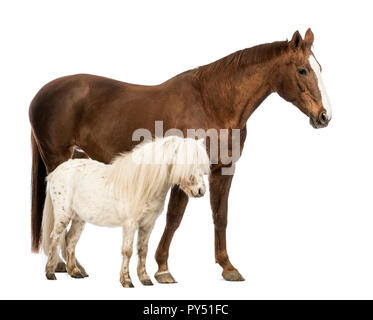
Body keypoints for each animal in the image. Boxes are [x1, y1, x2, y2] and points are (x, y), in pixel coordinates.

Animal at [41, 136, 209, 286]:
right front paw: (127, 281)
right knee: (55, 238)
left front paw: (145, 278)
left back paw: (74, 272)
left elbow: (143, 250)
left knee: (70, 240)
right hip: (63, 215)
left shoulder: (147, 225)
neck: (143, 185)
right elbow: (127, 251)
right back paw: (50, 273)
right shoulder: (130, 224)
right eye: (186, 164)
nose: (201, 191)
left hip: (79, 218)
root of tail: (56, 172)